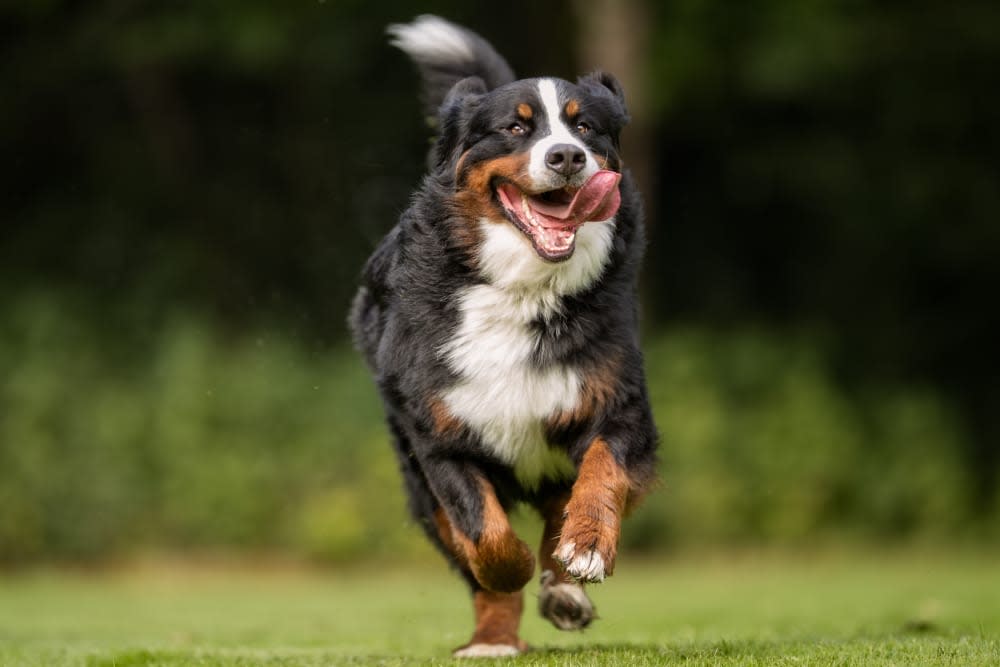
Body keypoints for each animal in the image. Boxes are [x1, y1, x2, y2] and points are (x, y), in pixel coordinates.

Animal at [350, 15, 656, 656]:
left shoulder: (618, 404)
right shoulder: (438, 435)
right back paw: (492, 638)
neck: (523, 288)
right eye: (515, 127)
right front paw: (511, 575)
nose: (566, 156)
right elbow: (484, 536)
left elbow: (600, 475)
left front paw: (584, 551)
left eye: (585, 126)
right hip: (414, 476)